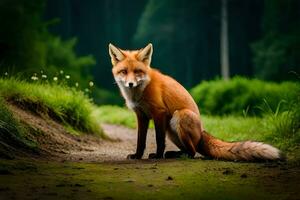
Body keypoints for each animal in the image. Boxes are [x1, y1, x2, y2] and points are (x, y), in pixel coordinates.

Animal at [108, 43, 284, 161]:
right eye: (124, 72)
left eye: (137, 71)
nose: (130, 84)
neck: (140, 92)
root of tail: (201, 132)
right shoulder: (141, 115)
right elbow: (140, 140)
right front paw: (137, 155)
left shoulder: (159, 112)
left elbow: (158, 140)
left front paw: (157, 155)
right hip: (171, 131)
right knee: (189, 150)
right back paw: (175, 154)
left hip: (179, 116)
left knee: (192, 152)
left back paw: (175, 155)